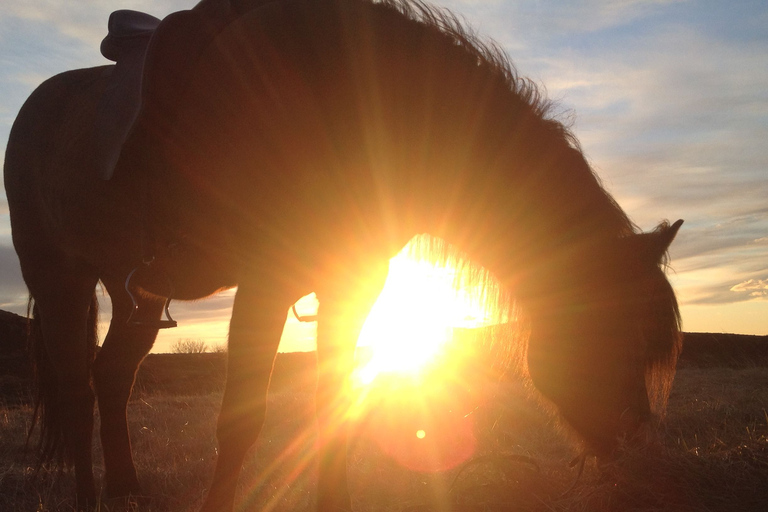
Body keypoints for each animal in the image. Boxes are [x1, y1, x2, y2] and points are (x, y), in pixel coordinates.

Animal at [3, 0, 680, 510]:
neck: (348, 103)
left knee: (112, 378)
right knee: (77, 391)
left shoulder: (352, 286)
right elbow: (240, 422)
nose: (633, 446)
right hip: (61, 281)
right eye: (614, 332)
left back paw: (126, 490)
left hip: (138, 296)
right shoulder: (266, 283)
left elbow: (335, 412)